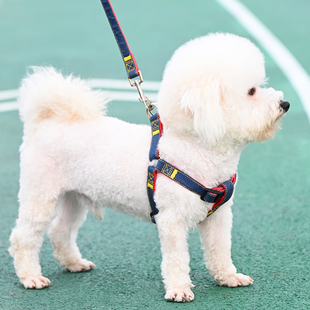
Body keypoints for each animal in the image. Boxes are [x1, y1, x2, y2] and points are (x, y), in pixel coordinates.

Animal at [9, 32, 288, 302]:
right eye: (251, 91)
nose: (284, 104)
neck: (193, 146)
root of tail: (45, 122)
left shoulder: (218, 217)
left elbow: (220, 250)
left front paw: (228, 277)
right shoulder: (171, 220)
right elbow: (177, 259)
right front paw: (178, 290)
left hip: (74, 196)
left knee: (60, 230)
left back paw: (73, 263)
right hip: (40, 194)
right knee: (24, 237)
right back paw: (30, 277)